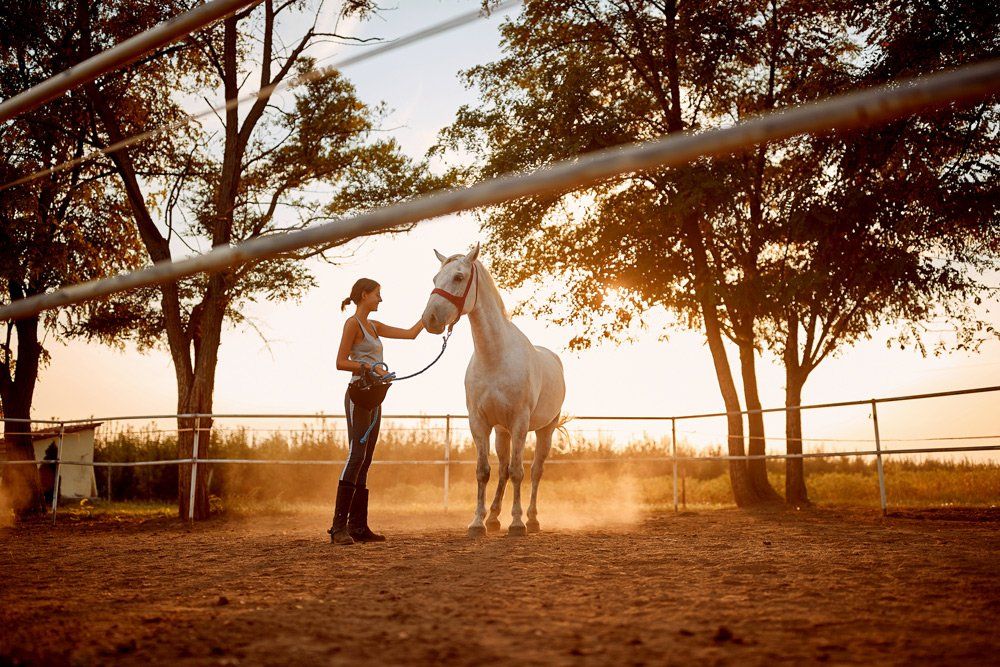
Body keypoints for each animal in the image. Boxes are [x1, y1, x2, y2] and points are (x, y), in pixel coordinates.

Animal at [421, 243, 566, 537]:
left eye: (459, 277)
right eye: (435, 279)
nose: (429, 319)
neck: (495, 357)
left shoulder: (520, 423)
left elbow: (518, 471)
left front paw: (517, 523)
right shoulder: (479, 422)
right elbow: (484, 471)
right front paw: (478, 522)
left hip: (545, 430)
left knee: (535, 470)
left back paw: (532, 519)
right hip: (502, 432)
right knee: (502, 471)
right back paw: (494, 518)